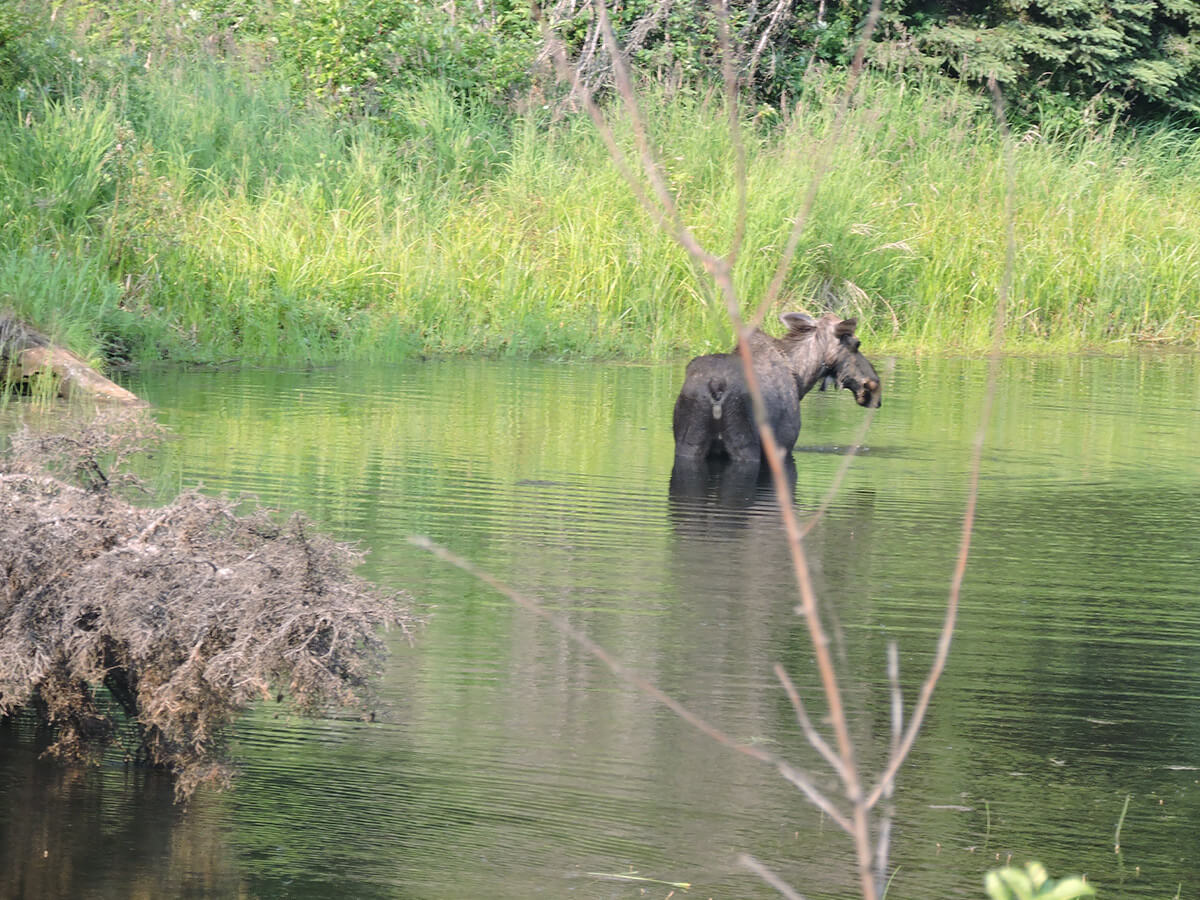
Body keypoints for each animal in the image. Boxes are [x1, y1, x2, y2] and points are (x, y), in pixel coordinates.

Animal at [676, 312, 883, 465]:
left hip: (689, 443)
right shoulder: (783, 444)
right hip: (745, 444)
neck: (801, 379)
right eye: (857, 343)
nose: (873, 385)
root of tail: (716, 385)